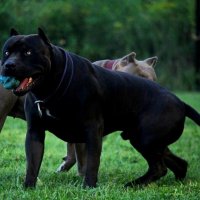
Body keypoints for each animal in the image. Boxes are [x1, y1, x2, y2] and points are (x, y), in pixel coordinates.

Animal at [0, 28, 199, 189]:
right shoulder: (35, 132)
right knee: (175, 163)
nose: (8, 65)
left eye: (28, 52)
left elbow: (91, 162)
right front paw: (28, 188)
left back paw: (134, 184)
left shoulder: (91, 130)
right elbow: (32, 164)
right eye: (7, 52)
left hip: (146, 139)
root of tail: (181, 102)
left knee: (159, 167)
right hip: (147, 139)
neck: (50, 87)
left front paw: (88, 186)